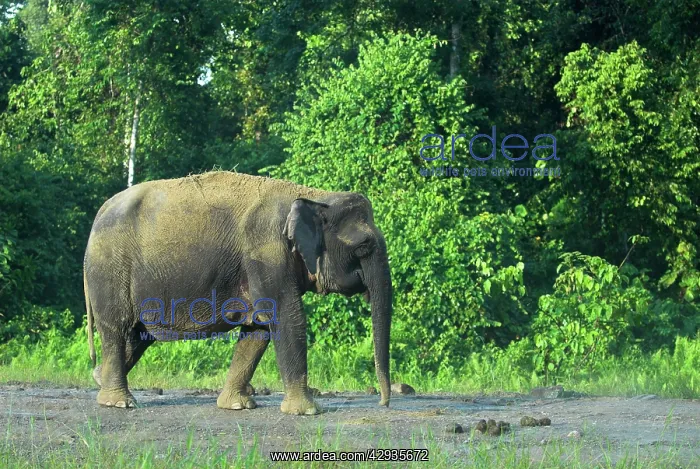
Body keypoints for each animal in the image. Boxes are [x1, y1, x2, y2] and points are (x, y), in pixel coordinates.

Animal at [83, 171, 392, 415]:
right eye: (363, 246)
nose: (383, 402)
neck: (312, 195)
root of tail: (99, 213)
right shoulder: (266, 250)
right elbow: (286, 316)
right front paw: (308, 411)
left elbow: (259, 328)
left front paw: (237, 405)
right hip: (110, 271)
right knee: (117, 328)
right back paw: (119, 402)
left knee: (138, 336)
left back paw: (100, 380)